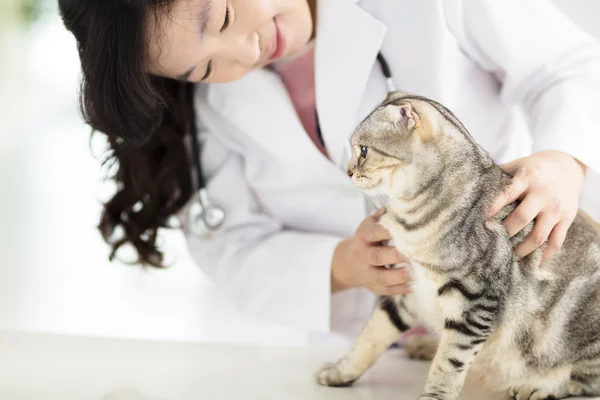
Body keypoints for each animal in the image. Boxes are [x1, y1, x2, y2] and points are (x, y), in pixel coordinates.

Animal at [314, 91, 600, 400]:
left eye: (364, 150)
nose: (348, 172)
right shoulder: (408, 291)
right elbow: (370, 337)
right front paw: (340, 370)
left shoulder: (475, 303)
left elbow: (449, 361)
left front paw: (434, 396)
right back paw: (423, 345)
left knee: (581, 379)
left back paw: (538, 386)